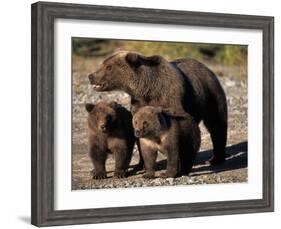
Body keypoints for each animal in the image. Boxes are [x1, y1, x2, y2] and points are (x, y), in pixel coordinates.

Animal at [88, 50, 226, 165]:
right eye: (102, 64)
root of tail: (206, 67)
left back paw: (215, 159)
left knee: (217, 123)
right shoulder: (138, 103)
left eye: (108, 67)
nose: (91, 76)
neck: (147, 89)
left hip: (210, 93)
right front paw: (142, 163)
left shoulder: (170, 98)